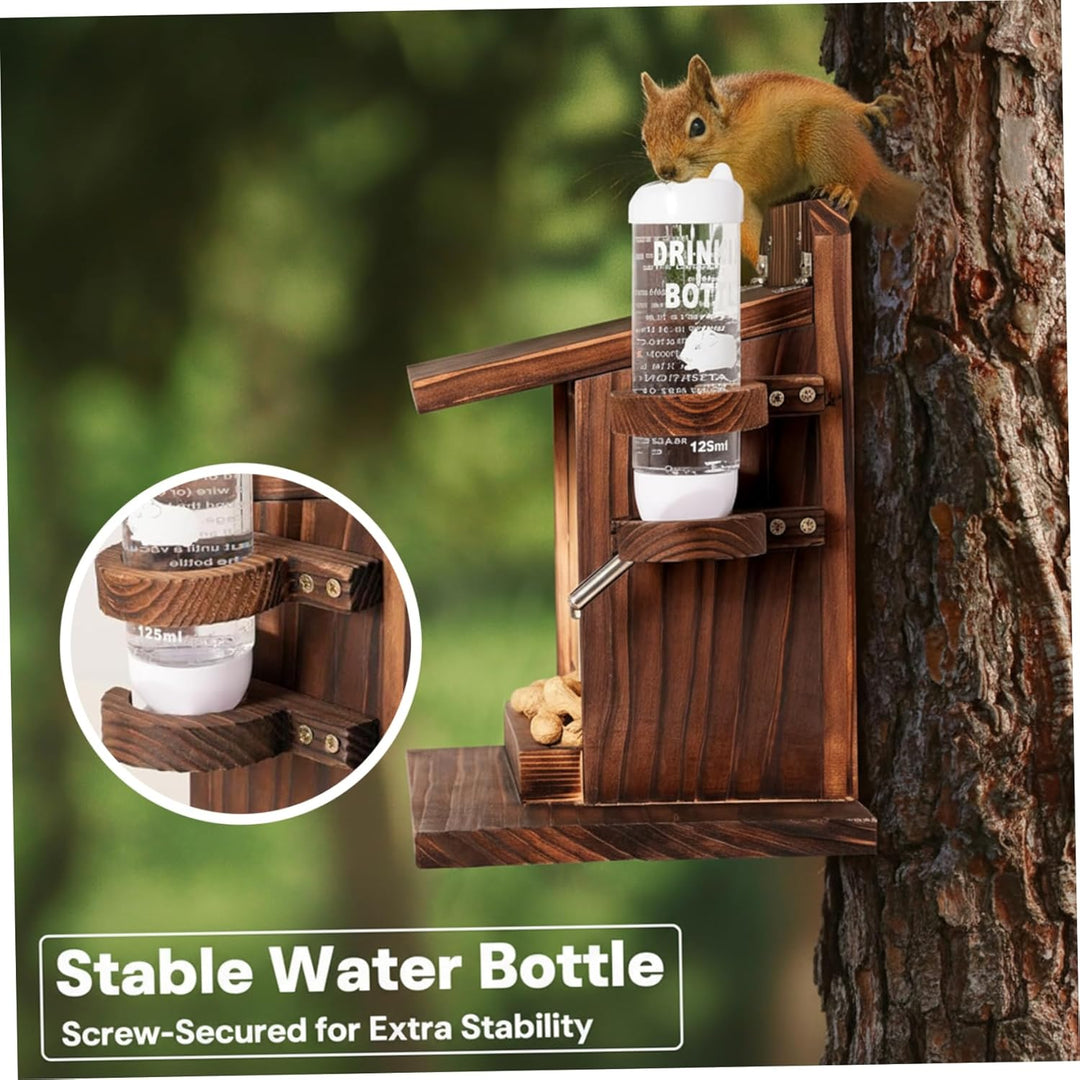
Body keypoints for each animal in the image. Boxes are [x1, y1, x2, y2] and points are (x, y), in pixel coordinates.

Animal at [640, 55, 923, 268]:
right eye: (645, 140)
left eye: (697, 126)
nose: (665, 171)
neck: (730, 153)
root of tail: (872, 163)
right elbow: (748, 228)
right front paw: (761, 264)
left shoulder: (774, 89)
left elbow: (824, 93)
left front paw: (865, 108)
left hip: (823, 130)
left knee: (854, 172)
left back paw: (843, 188)